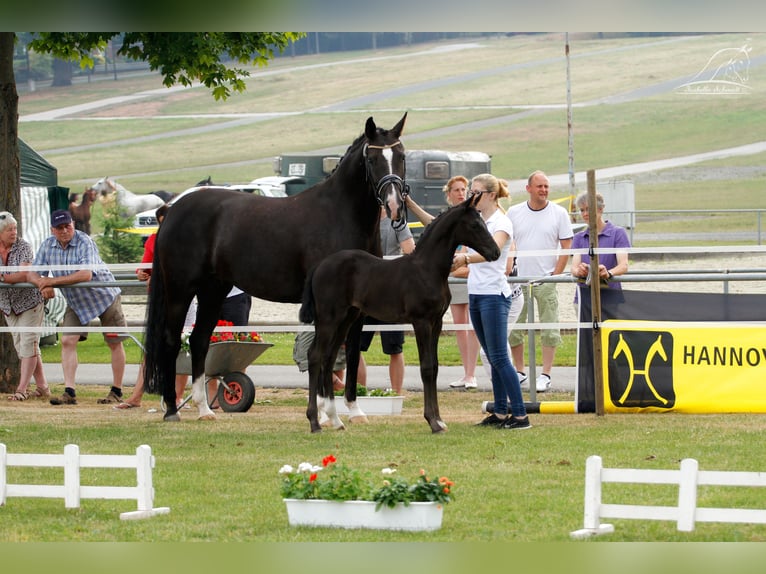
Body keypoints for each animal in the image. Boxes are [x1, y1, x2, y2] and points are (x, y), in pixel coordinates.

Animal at [142, 112, 408, 424]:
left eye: (401, 156)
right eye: (373, 159)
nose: (394, 204)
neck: (340, 216)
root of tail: (172, 210)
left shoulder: (356, 307)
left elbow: (351, 353)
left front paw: (354, 411)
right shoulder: (327, 307)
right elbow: (324, 353)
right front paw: (325, 412)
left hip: (213, 290)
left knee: (198, 340)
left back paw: (204, 409)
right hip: (180, 288)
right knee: (172, 340)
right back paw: (172, 410)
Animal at [300, 191, 498, 434]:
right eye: (475, 225)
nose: (496, 252)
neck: (428, 269)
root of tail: (319, 266)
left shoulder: (437, 323)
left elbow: (434, 367)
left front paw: (439, 419)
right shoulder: (421, 322)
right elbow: (426, 368)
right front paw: (433, 422)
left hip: (347, 318)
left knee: (328, 358)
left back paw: (336, 420)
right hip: (329, 318)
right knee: (315, 355)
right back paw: (314, 422)